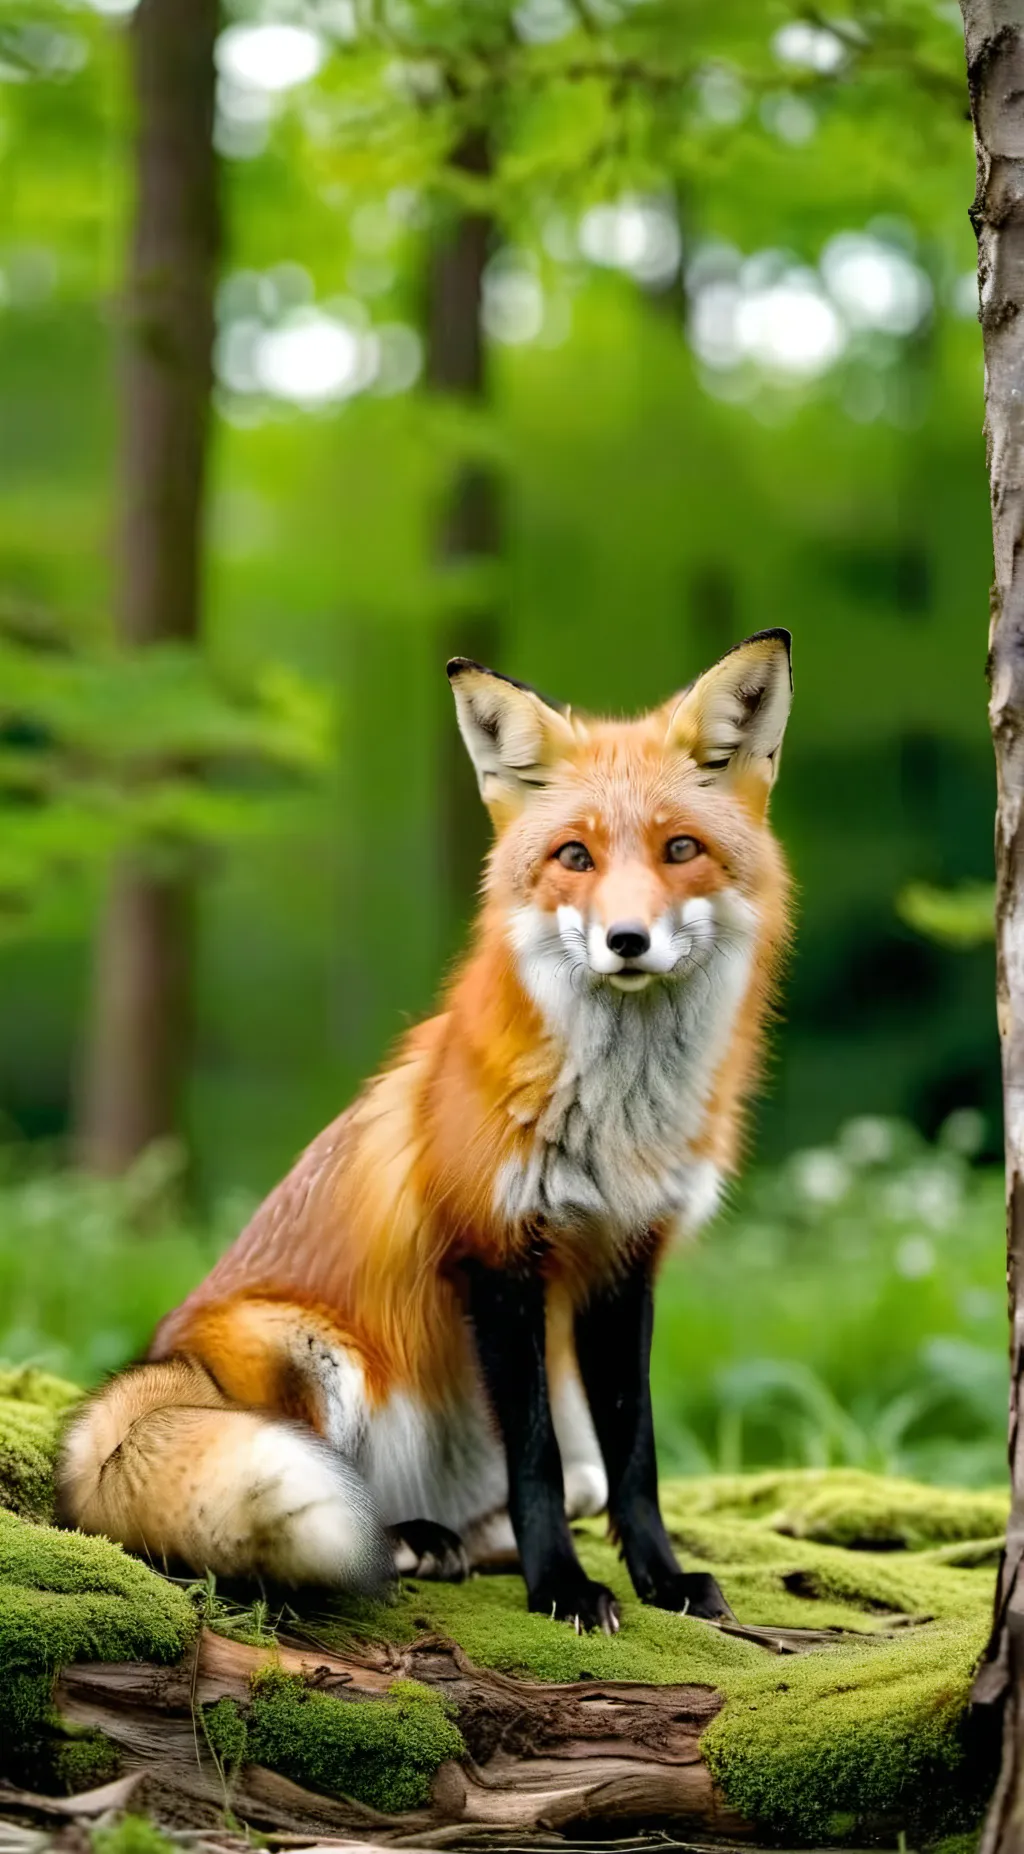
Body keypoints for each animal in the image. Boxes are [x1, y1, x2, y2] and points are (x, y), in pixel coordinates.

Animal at [58, 629, 792, 1634]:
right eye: (575, 856)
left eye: (681, 848)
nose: (627, 942)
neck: (619, 1121)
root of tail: (172, 1360)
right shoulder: (496, 1257)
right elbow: (534, 1461)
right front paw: (561, 1589)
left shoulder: (624, 1260)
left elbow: (635, 1457)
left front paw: (662, 1581)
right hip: (311, 1358)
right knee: (336, 1491)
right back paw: (404, 1540)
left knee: (566, 1488)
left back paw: (452, 1543)